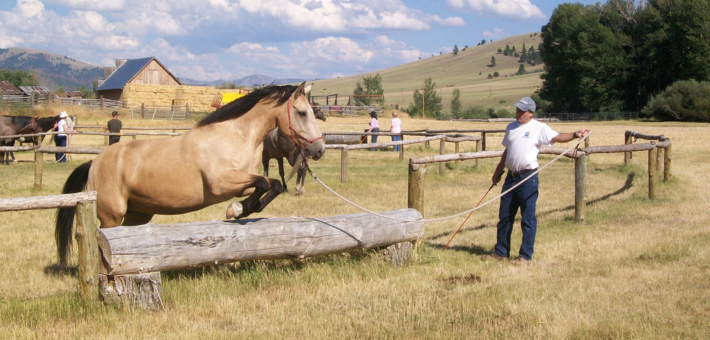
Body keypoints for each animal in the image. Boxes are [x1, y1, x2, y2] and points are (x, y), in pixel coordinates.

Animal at [56, 83, 328, 268]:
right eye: (302, 113)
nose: (319, 149)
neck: (236, 134)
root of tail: (94, 163)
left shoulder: (242, 182)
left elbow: (273, 185)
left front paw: (244, 209)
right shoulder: (221, 184)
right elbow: (263, 183)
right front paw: (236, 210)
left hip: (138, 214)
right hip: (111, 216)